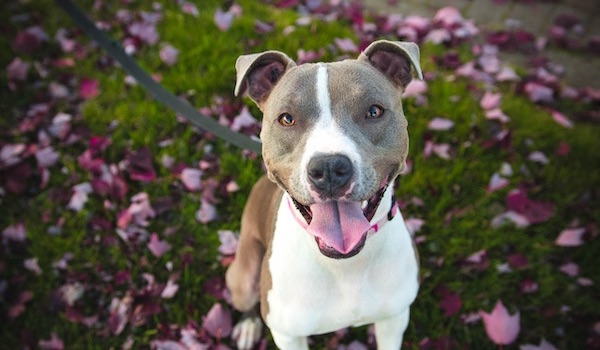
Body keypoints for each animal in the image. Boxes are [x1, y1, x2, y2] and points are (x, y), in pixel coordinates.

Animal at [225, 39, 422, 348]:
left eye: (374, 111)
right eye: (287, 119)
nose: (329, 167)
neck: (345, 264)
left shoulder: (394, 318)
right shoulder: (288, 335)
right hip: (243, 277)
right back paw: (248, 326)